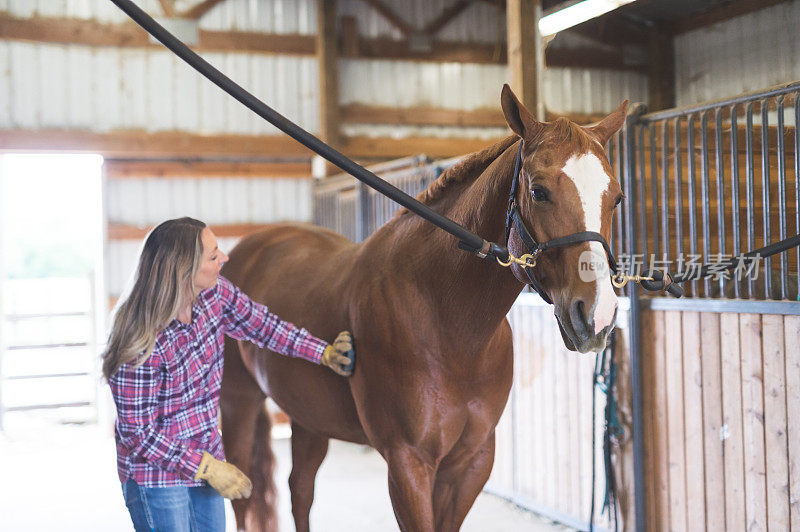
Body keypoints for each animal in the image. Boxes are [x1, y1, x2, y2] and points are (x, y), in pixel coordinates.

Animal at [220, 85, 632, 528]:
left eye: (617, 198)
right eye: (539, 191)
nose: (597, 315)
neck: (447, 323)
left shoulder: (471, 462)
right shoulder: (408, 463)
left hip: (308, 416)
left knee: (300, 489)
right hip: (236, 403)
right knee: (244, 494)